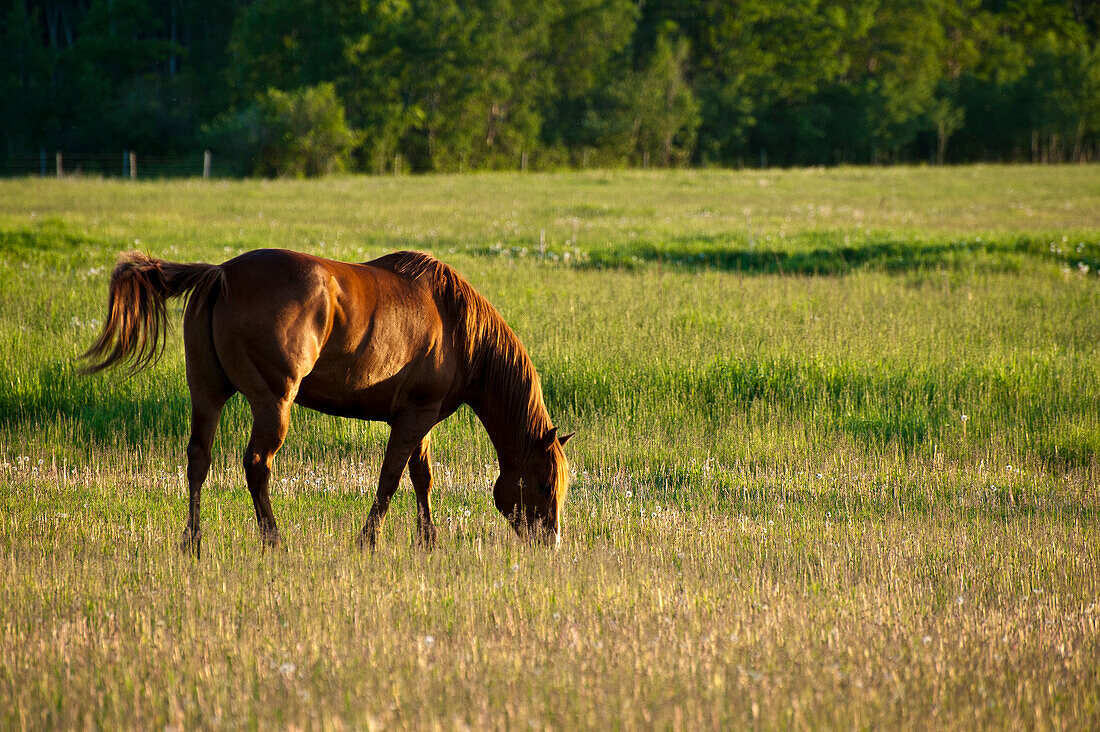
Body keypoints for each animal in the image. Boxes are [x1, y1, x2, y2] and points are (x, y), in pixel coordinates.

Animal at [83, 249, 576, 554]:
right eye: (544, 484)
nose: (550, 543)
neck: (455, 324)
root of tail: (221, 273)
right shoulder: (415, 416)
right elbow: (390, 479)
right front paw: (368, 541)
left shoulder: (420, 416)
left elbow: (422, 478)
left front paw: (428, 541)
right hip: (274, 402)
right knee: (257, 465)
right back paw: (273, 540)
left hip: (206, 394)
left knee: (197, 461)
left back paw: (194, 542)